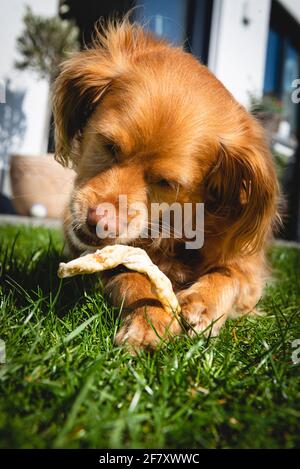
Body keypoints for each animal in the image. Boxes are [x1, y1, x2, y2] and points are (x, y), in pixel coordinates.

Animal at [52, 19, 280, 348]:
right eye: (109, 146)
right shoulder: (114, 257)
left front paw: (203, 304)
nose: (99, 221)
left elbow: (230, 275)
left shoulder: (249, 271)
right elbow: (134, 276)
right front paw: (150, 320)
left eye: (165, 182)